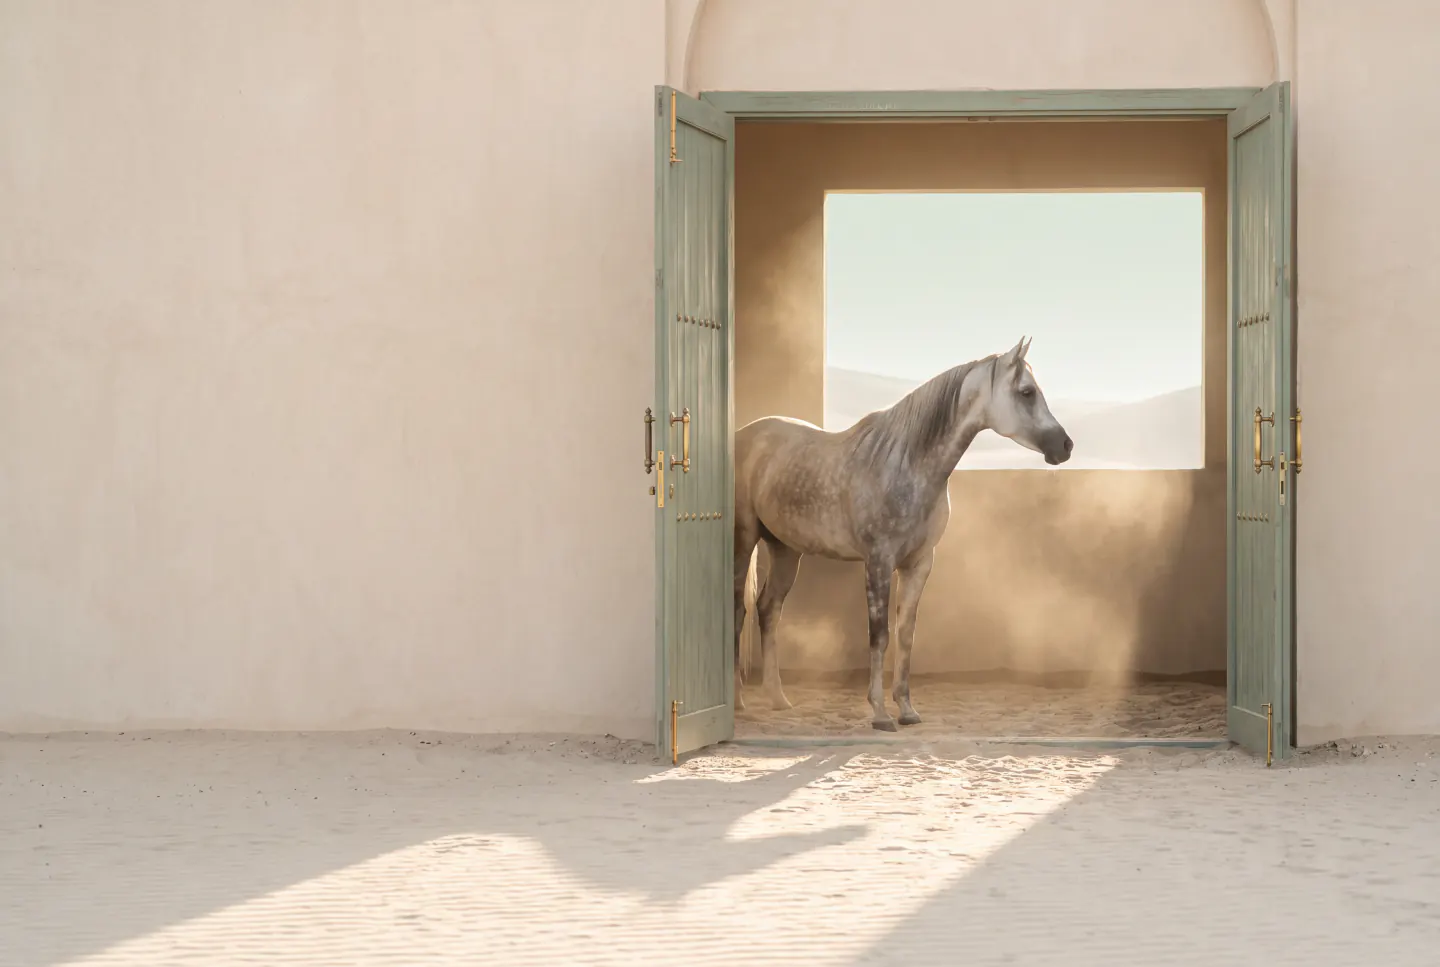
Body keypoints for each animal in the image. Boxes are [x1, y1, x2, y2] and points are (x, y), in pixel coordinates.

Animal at [732, 336, 1073, 731]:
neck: (908, 465)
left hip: (786, 550)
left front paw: (907, 710)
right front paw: (880, 713)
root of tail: (742, 436)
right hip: (744, 541)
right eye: (1027, 392)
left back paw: (778, 699)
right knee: (738, 609)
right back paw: (738, 701)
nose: (1065, 446)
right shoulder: (878, 562)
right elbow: (879, 634)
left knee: (768, 609)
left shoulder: (919, 564)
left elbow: (906, 635)